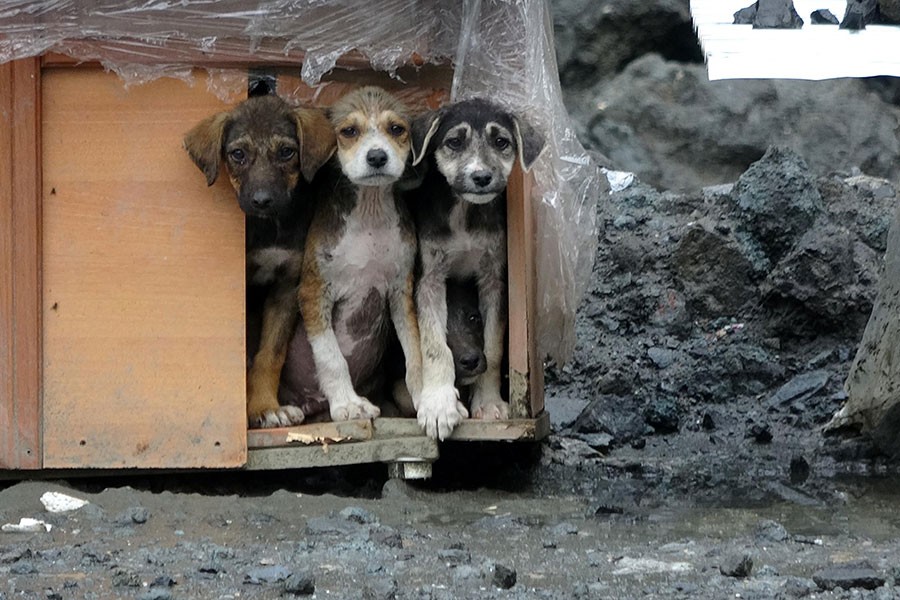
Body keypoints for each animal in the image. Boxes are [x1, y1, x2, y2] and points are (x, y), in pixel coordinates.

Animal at [183, 94, 334, 428]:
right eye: (238, 154)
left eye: (287, 152)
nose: (262, 201)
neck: (269, 228)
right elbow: (247, 355)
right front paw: (256, 409)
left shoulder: (286, 288)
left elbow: (270, 354)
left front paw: (265, 407)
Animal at [288, 86, 426, 422]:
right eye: (349, 131)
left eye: (396, 129)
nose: (377, 156)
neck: (370, 212)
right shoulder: (313, 292)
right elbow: (331, 356)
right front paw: (348, 403)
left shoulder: (401, 292)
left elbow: (415, 352)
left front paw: (432, 402)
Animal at [412, 98, 544, 440]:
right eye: (454, 142)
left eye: (501, 142)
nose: (481, 176)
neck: (465, 212)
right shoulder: (429, 280)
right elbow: (434, 346)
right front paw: (439, 405)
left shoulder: (494, 280)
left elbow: (493, 346)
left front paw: (488, 403)